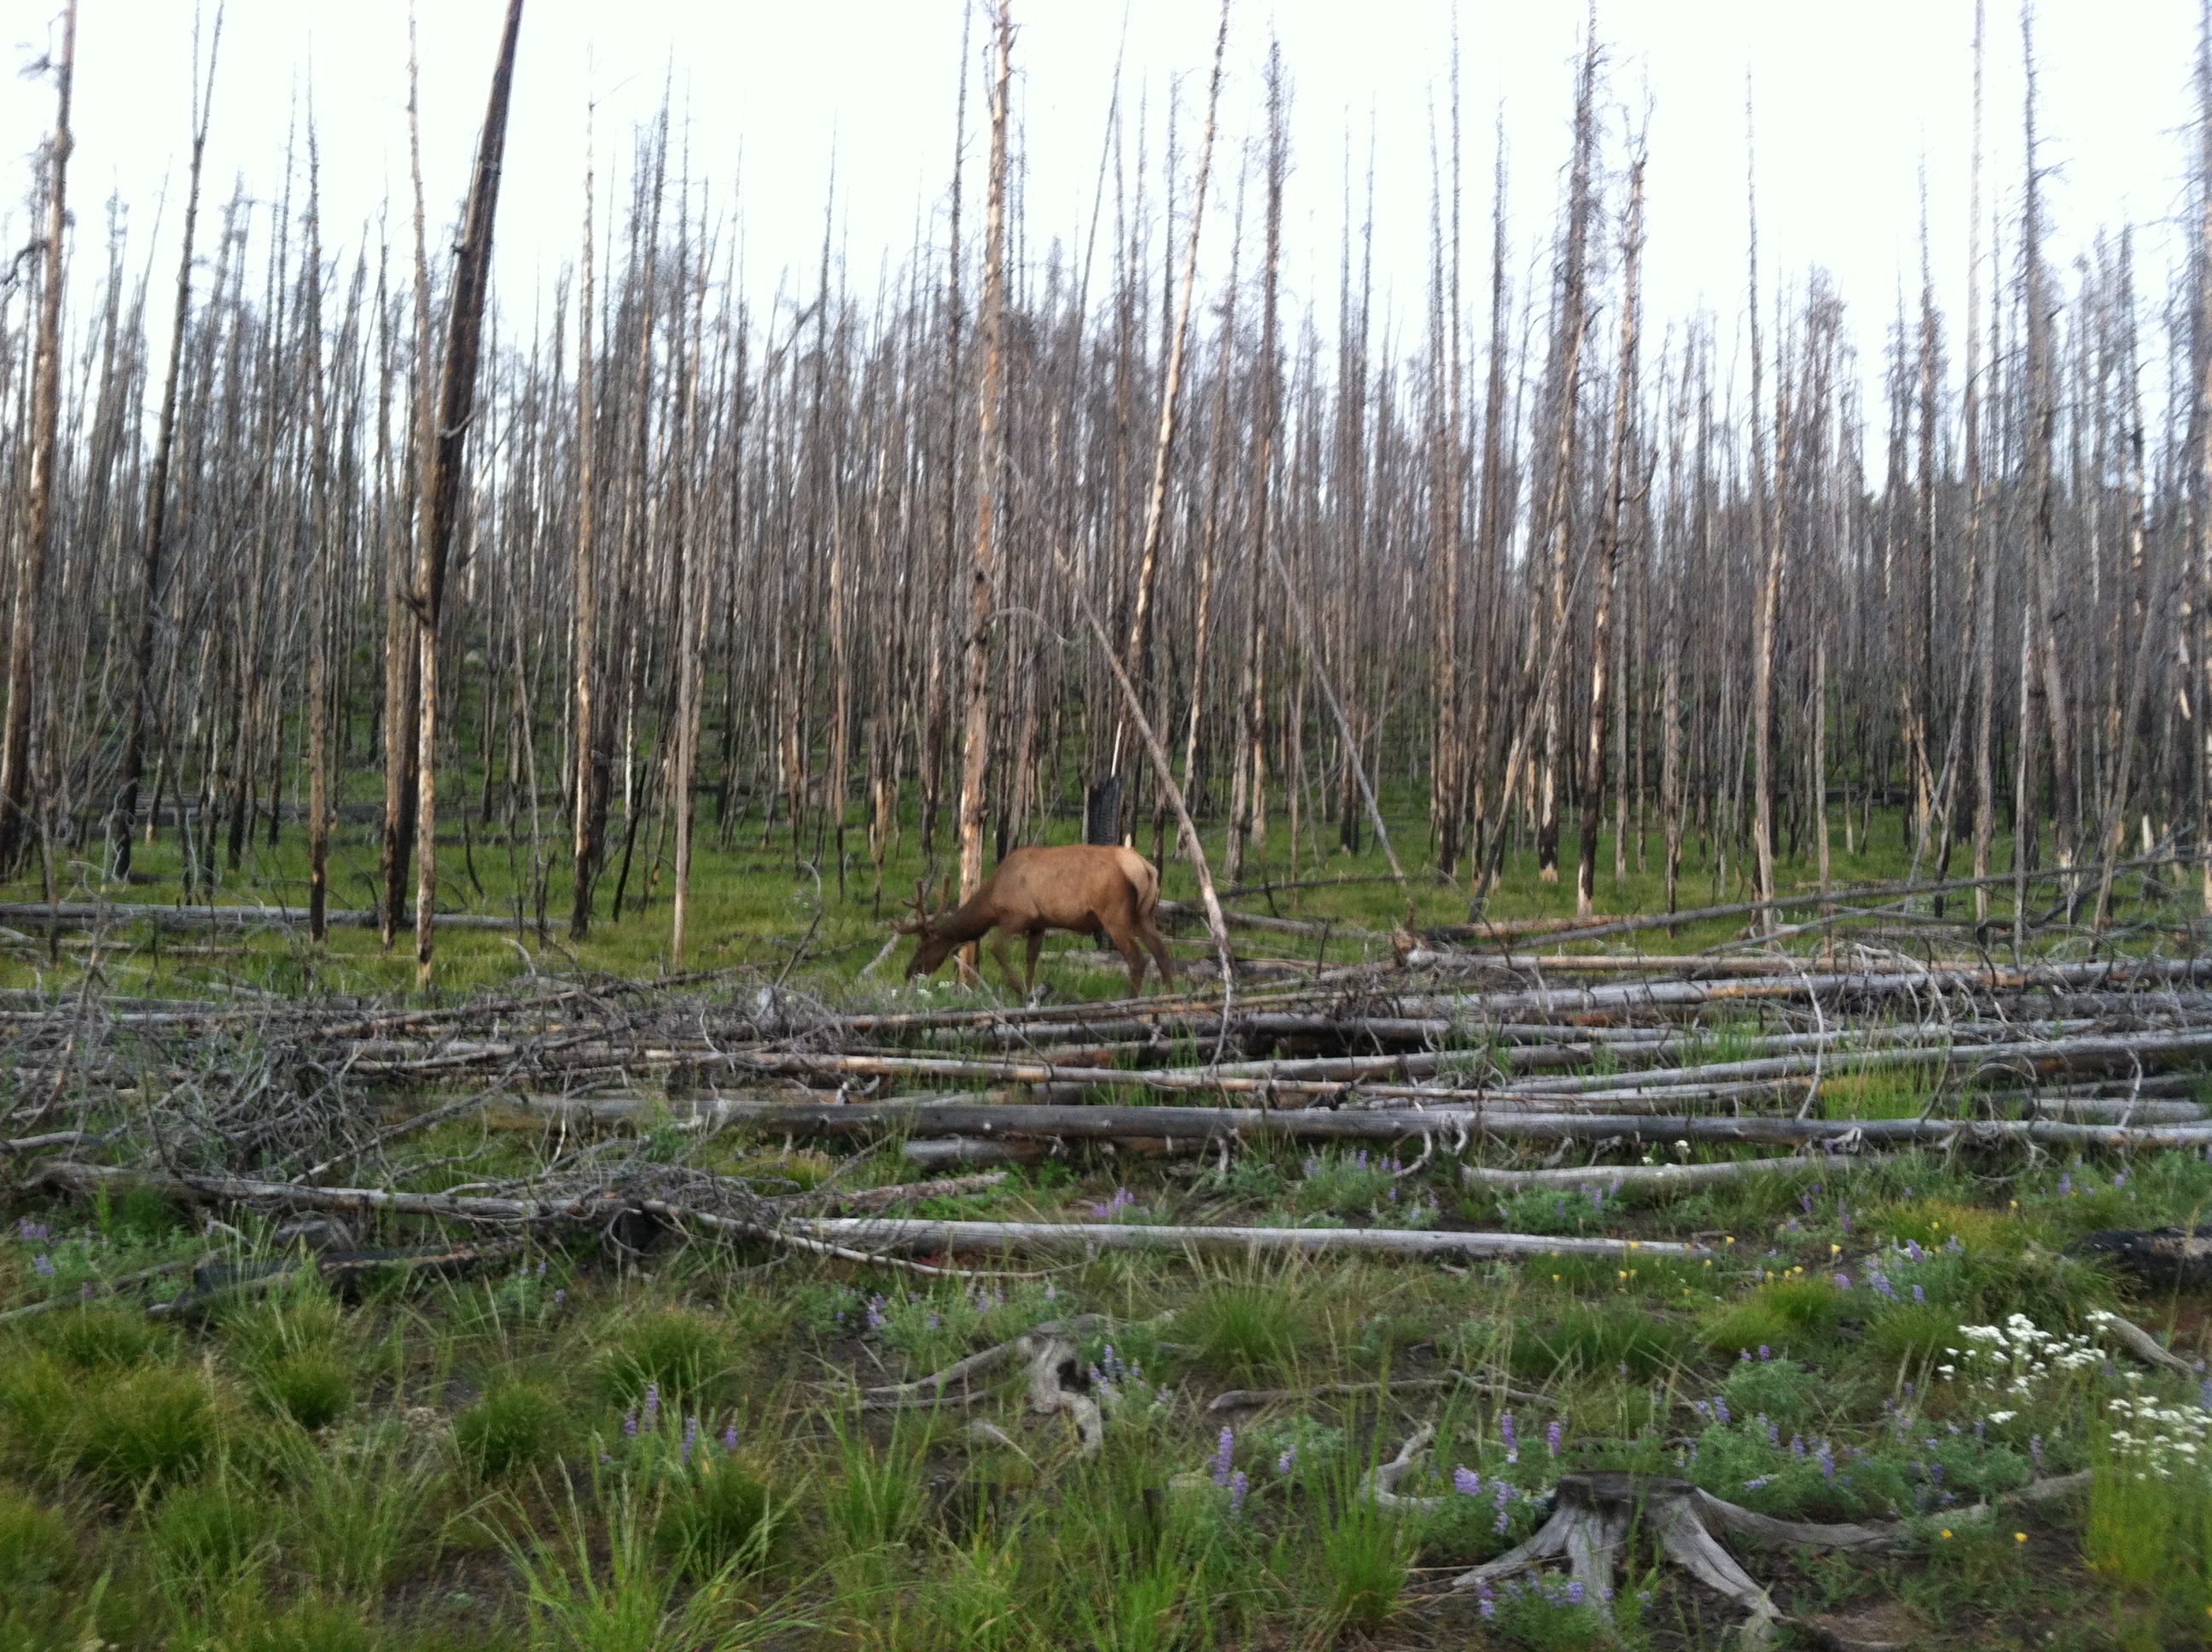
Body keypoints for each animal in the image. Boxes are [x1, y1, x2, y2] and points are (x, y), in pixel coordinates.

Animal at [897, 845, 1177, 998]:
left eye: (923, 946)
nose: (909, 971)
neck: (991, 900)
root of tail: (1144, 869)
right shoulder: (1040, 924)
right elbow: (1031, 958)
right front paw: (1031, 993)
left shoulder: (1019, 915)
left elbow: (997, 948)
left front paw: (1020, 988)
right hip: (1145, 914)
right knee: (1162, 953)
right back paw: (1170, 997)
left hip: (1115, 913)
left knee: (1137, 959)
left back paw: (1132, 999)